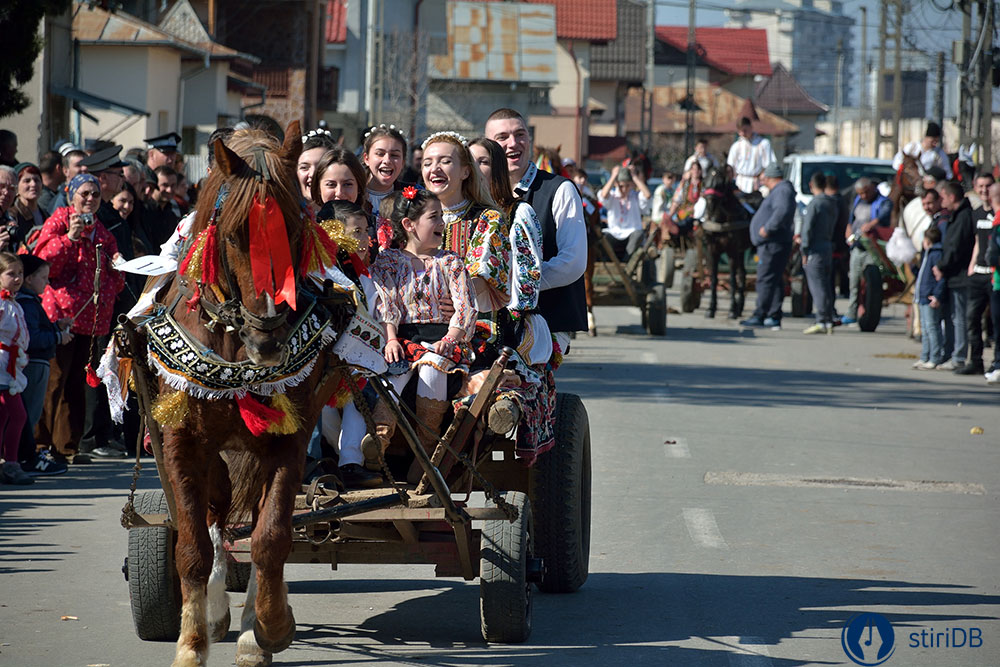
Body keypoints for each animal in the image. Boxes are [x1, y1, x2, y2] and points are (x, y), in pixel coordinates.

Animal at [148, 122, 352, 664]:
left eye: (297, 228)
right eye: (237, 234)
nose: (270, 339)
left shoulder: (288, 439)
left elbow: (271, 537)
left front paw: (269, 627)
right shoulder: (181, 440)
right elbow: (192, 547)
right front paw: (192, 642)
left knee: (255, 521)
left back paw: (249, 628)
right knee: (218, 514)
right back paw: (220, 612)